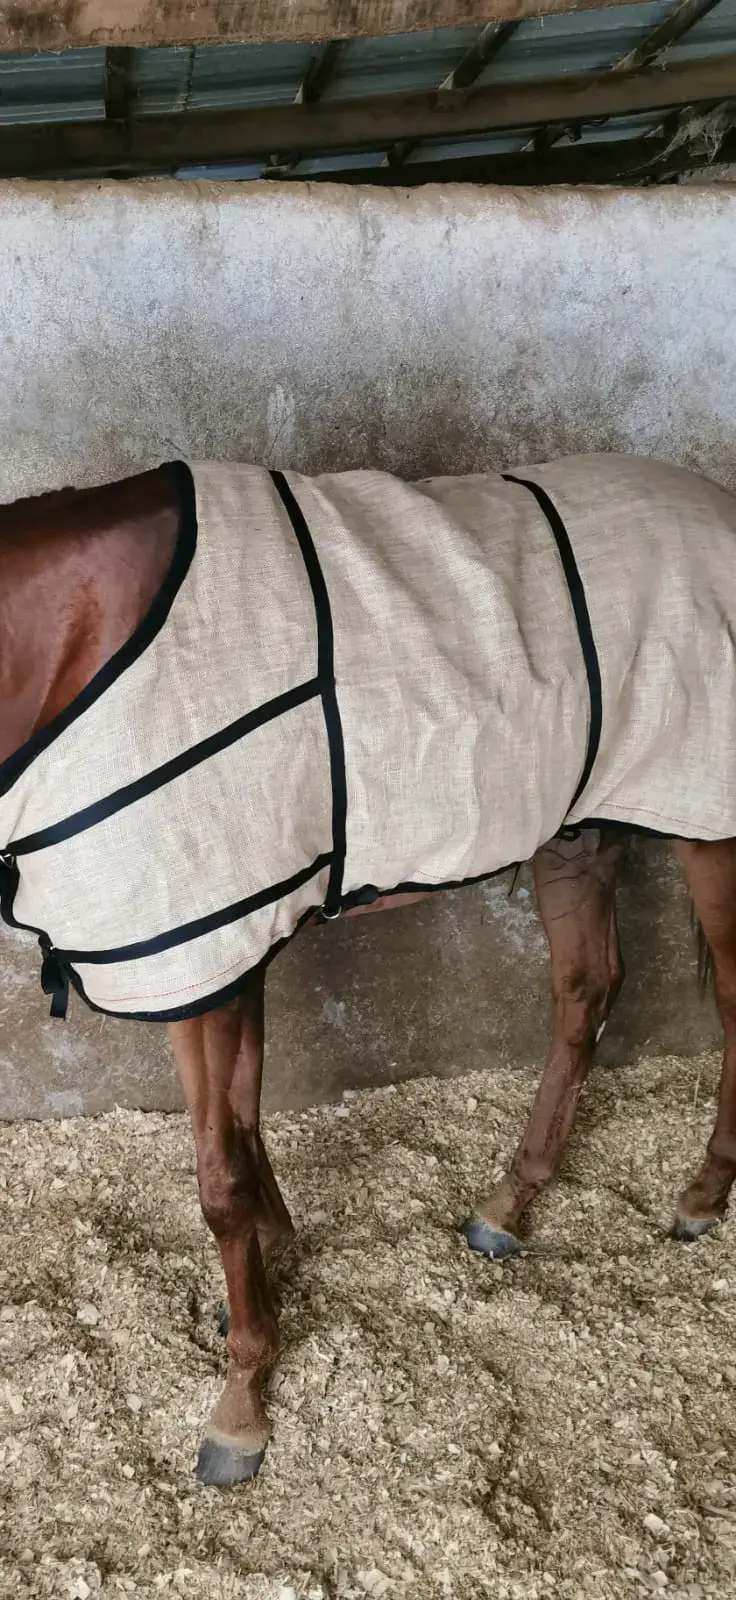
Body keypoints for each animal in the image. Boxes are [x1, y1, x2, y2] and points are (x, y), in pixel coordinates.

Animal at [1, 454, 735, 1490]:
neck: (86, 648)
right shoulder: (219, 952)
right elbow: (243, 1123)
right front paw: (272, 1270)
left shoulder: (205, 959)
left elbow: (218, 1174)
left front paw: (242, 1404)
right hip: (578, 831)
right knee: (585, 992)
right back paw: (510, 1204)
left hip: (711, 830)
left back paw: (702, 1195)